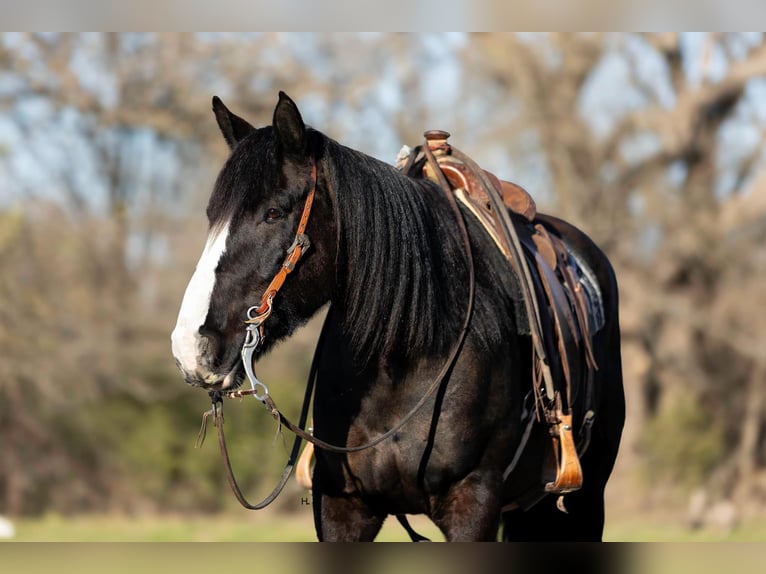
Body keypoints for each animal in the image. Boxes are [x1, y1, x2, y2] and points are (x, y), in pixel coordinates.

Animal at [171, 92, 625, 541]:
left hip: (584, 502)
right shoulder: (342, 509)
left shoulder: (473, 501)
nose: (191, 346)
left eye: (274, 213)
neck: (408, 355)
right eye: (212, 216)